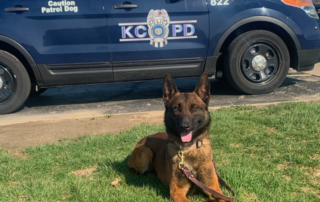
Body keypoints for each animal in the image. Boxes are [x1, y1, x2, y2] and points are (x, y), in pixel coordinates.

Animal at [127, 73, 225, 202]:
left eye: (195, 107)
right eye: (176, 108)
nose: (184, 126)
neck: (189, 148)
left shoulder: (213, 189)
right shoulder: (177, 192)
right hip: (145, 153)